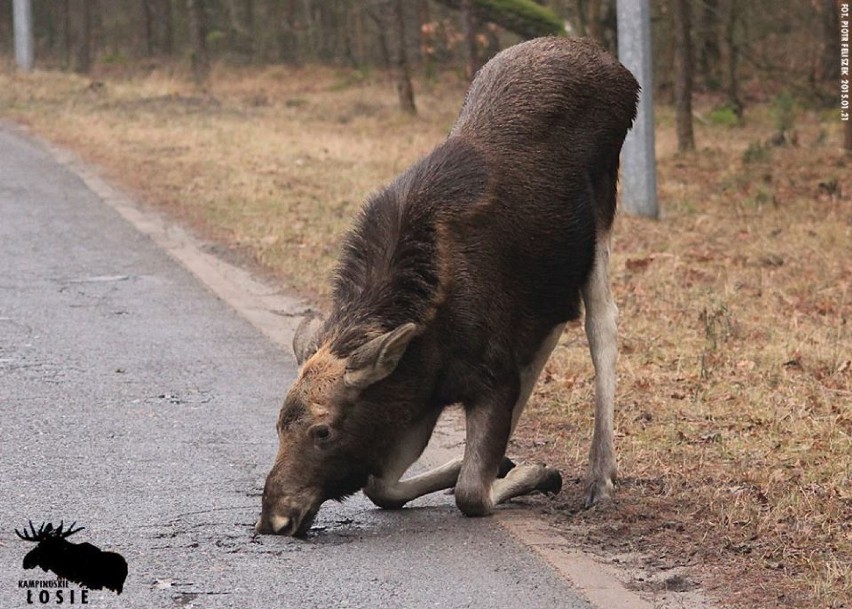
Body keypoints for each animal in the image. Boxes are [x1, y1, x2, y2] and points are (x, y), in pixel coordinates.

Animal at [256, 35, 636, 536]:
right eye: (279, 423)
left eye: (324, 430)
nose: (274, 518)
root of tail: (622, 73)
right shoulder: (422, 392)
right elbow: (383, 486)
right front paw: (499, 464)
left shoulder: (492, 376)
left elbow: (471, 493)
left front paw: (535, 472)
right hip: (553, 276)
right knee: (556, 321)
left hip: (599, 218)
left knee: (602, 322)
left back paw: (599, 476)